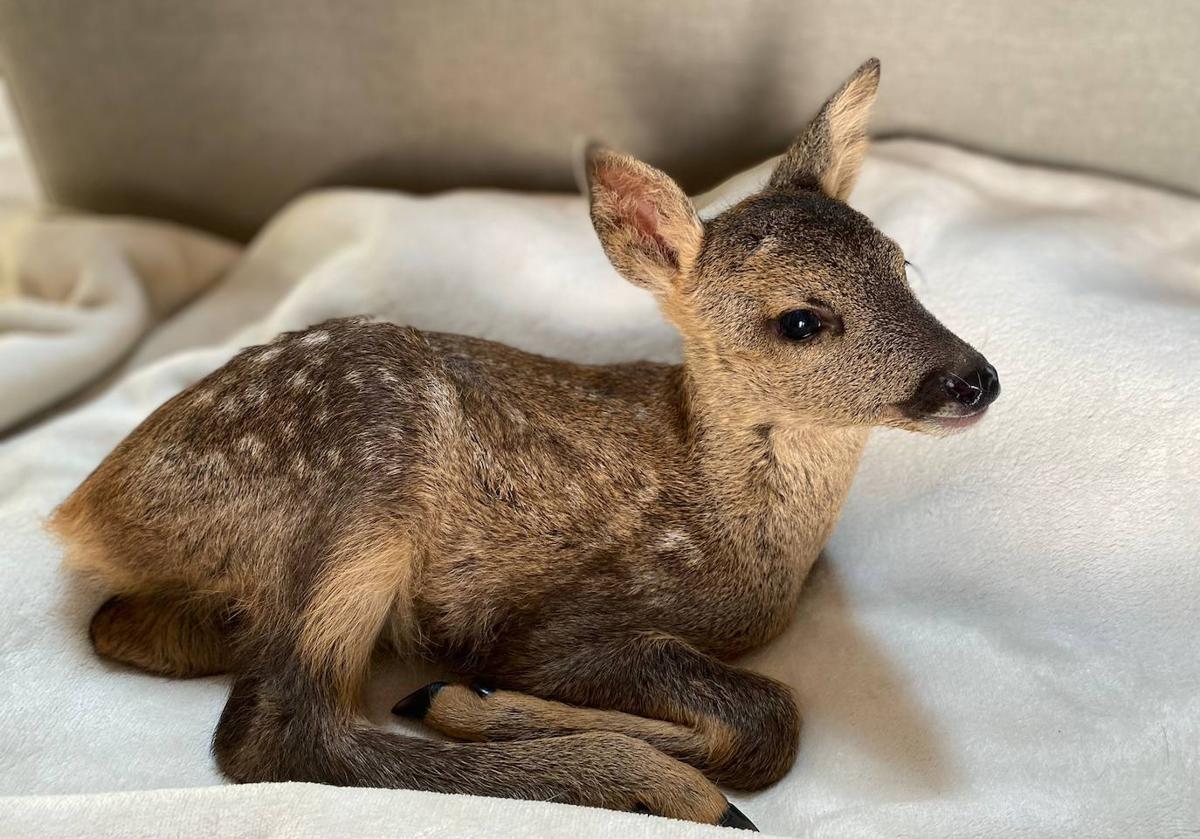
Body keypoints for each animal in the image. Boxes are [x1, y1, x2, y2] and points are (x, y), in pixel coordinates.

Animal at [51, 60, 993, 835]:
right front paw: (478, 697)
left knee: (120, 627)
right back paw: (639, 779)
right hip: (363, 485)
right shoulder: (557, 619)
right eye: (800, 320)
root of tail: (85, 507)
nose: (972, 378)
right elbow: (767, 716)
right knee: (280, 731)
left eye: (902, 267)